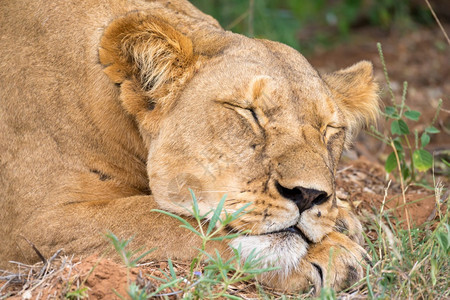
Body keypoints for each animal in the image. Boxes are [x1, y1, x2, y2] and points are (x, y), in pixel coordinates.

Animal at [0, 0, 380, 292]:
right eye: (248, 112)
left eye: (330, 129)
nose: (308, 195)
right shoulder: (33, 227)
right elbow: (158, 221)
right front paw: (330, 254)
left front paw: (341, 219)